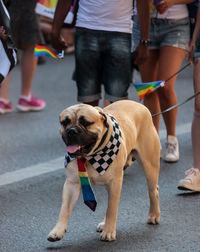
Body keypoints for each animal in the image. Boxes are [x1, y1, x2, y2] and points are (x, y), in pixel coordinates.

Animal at [47, 100, 160, 242]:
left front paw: (109, 231)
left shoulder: (114, 182)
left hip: (149, 167)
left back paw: (154, 215)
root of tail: (139, 105)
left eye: (86, 122)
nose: (71, 131)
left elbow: (111, 209)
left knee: (153, 191)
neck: (89, 156)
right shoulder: (72, 184)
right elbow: (65, 208)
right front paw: (58, 230)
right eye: (65, 122)